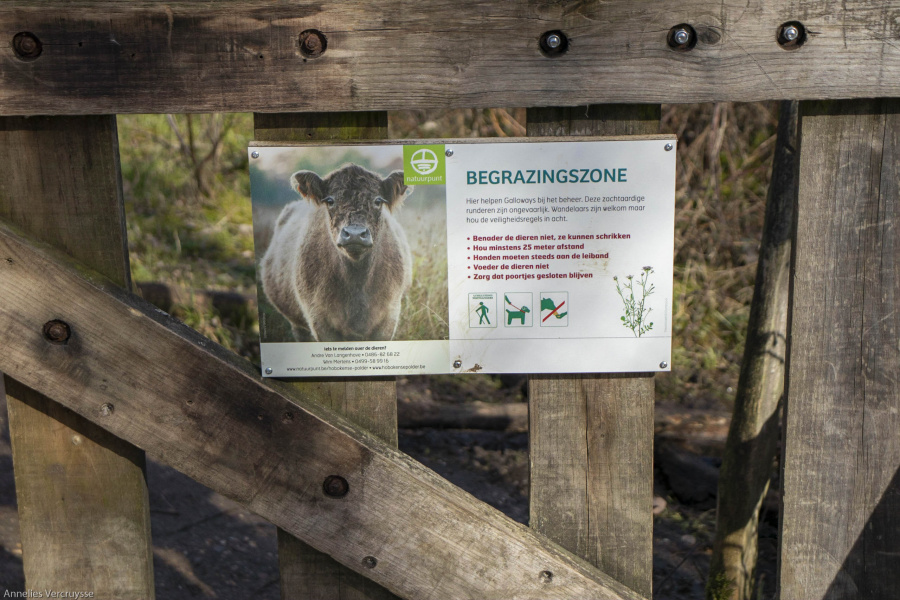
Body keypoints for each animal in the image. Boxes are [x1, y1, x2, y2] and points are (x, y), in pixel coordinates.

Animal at [262, 164, 414, 342]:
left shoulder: (388, 319)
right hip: (298, 325)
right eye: (330, 201)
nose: (355, 234)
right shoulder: (320, 322)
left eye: (377, 201)